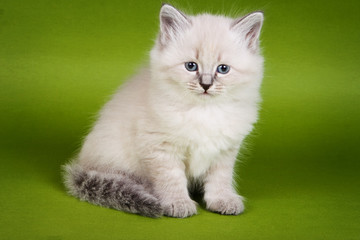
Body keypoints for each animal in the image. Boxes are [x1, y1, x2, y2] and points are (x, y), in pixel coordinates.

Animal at [62, 3, 264, 218]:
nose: (206, 84)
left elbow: (220, 179)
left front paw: (222, 200)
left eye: (223, 69)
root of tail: (81, 163)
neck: (203, 111)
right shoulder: (162, 149)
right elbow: (171, 179)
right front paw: (178, 203)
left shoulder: (224, 151)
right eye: (191, 66)